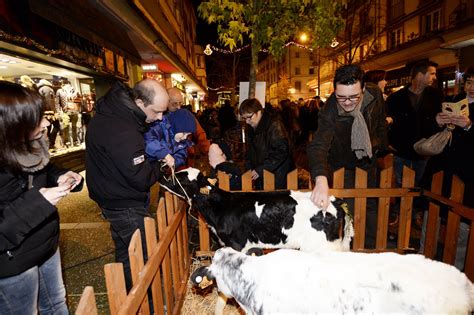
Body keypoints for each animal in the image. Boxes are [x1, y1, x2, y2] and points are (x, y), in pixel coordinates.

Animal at [157, 168, 354, 254]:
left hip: (323, 247)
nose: (162, 176)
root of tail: (335, 200)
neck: (221, 207)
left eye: (182, 179)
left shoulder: (237, 245)